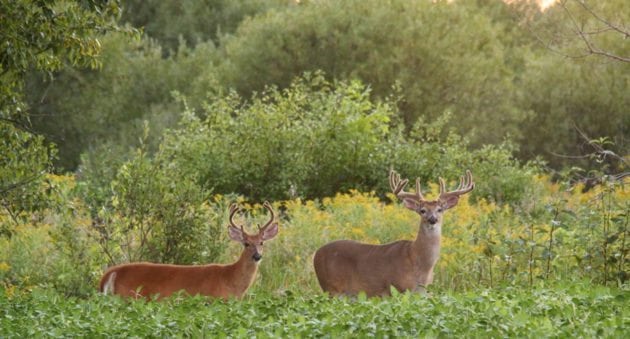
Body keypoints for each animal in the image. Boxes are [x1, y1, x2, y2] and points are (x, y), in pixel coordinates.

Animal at [99, 202, 278, 300]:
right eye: (246, 244)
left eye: (262, 242)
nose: (257, 256)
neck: (230, 280)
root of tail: (110, 273)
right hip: (128, 298)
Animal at [314, 170, 476, 298]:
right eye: (422, 210)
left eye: (440, 209)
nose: (432, 219)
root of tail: (316, 254)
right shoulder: (398, 289)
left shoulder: (422, 293)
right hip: (331, 288)